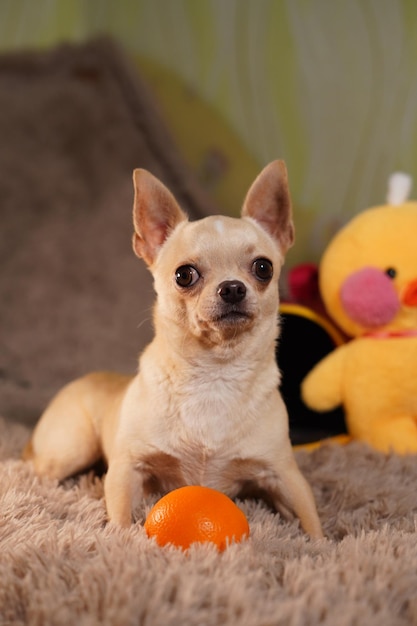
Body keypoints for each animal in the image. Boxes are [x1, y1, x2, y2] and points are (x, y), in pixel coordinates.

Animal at [23, 160, 322, 536]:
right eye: (184, 275)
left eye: (263, 268)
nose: (232, 288)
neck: (215, 375)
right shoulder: (128, 468)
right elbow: (120, 517)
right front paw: (121, 540)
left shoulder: (285, 475)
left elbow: (311, 520)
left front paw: (321, 543)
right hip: (70, 449)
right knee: (33, 468)